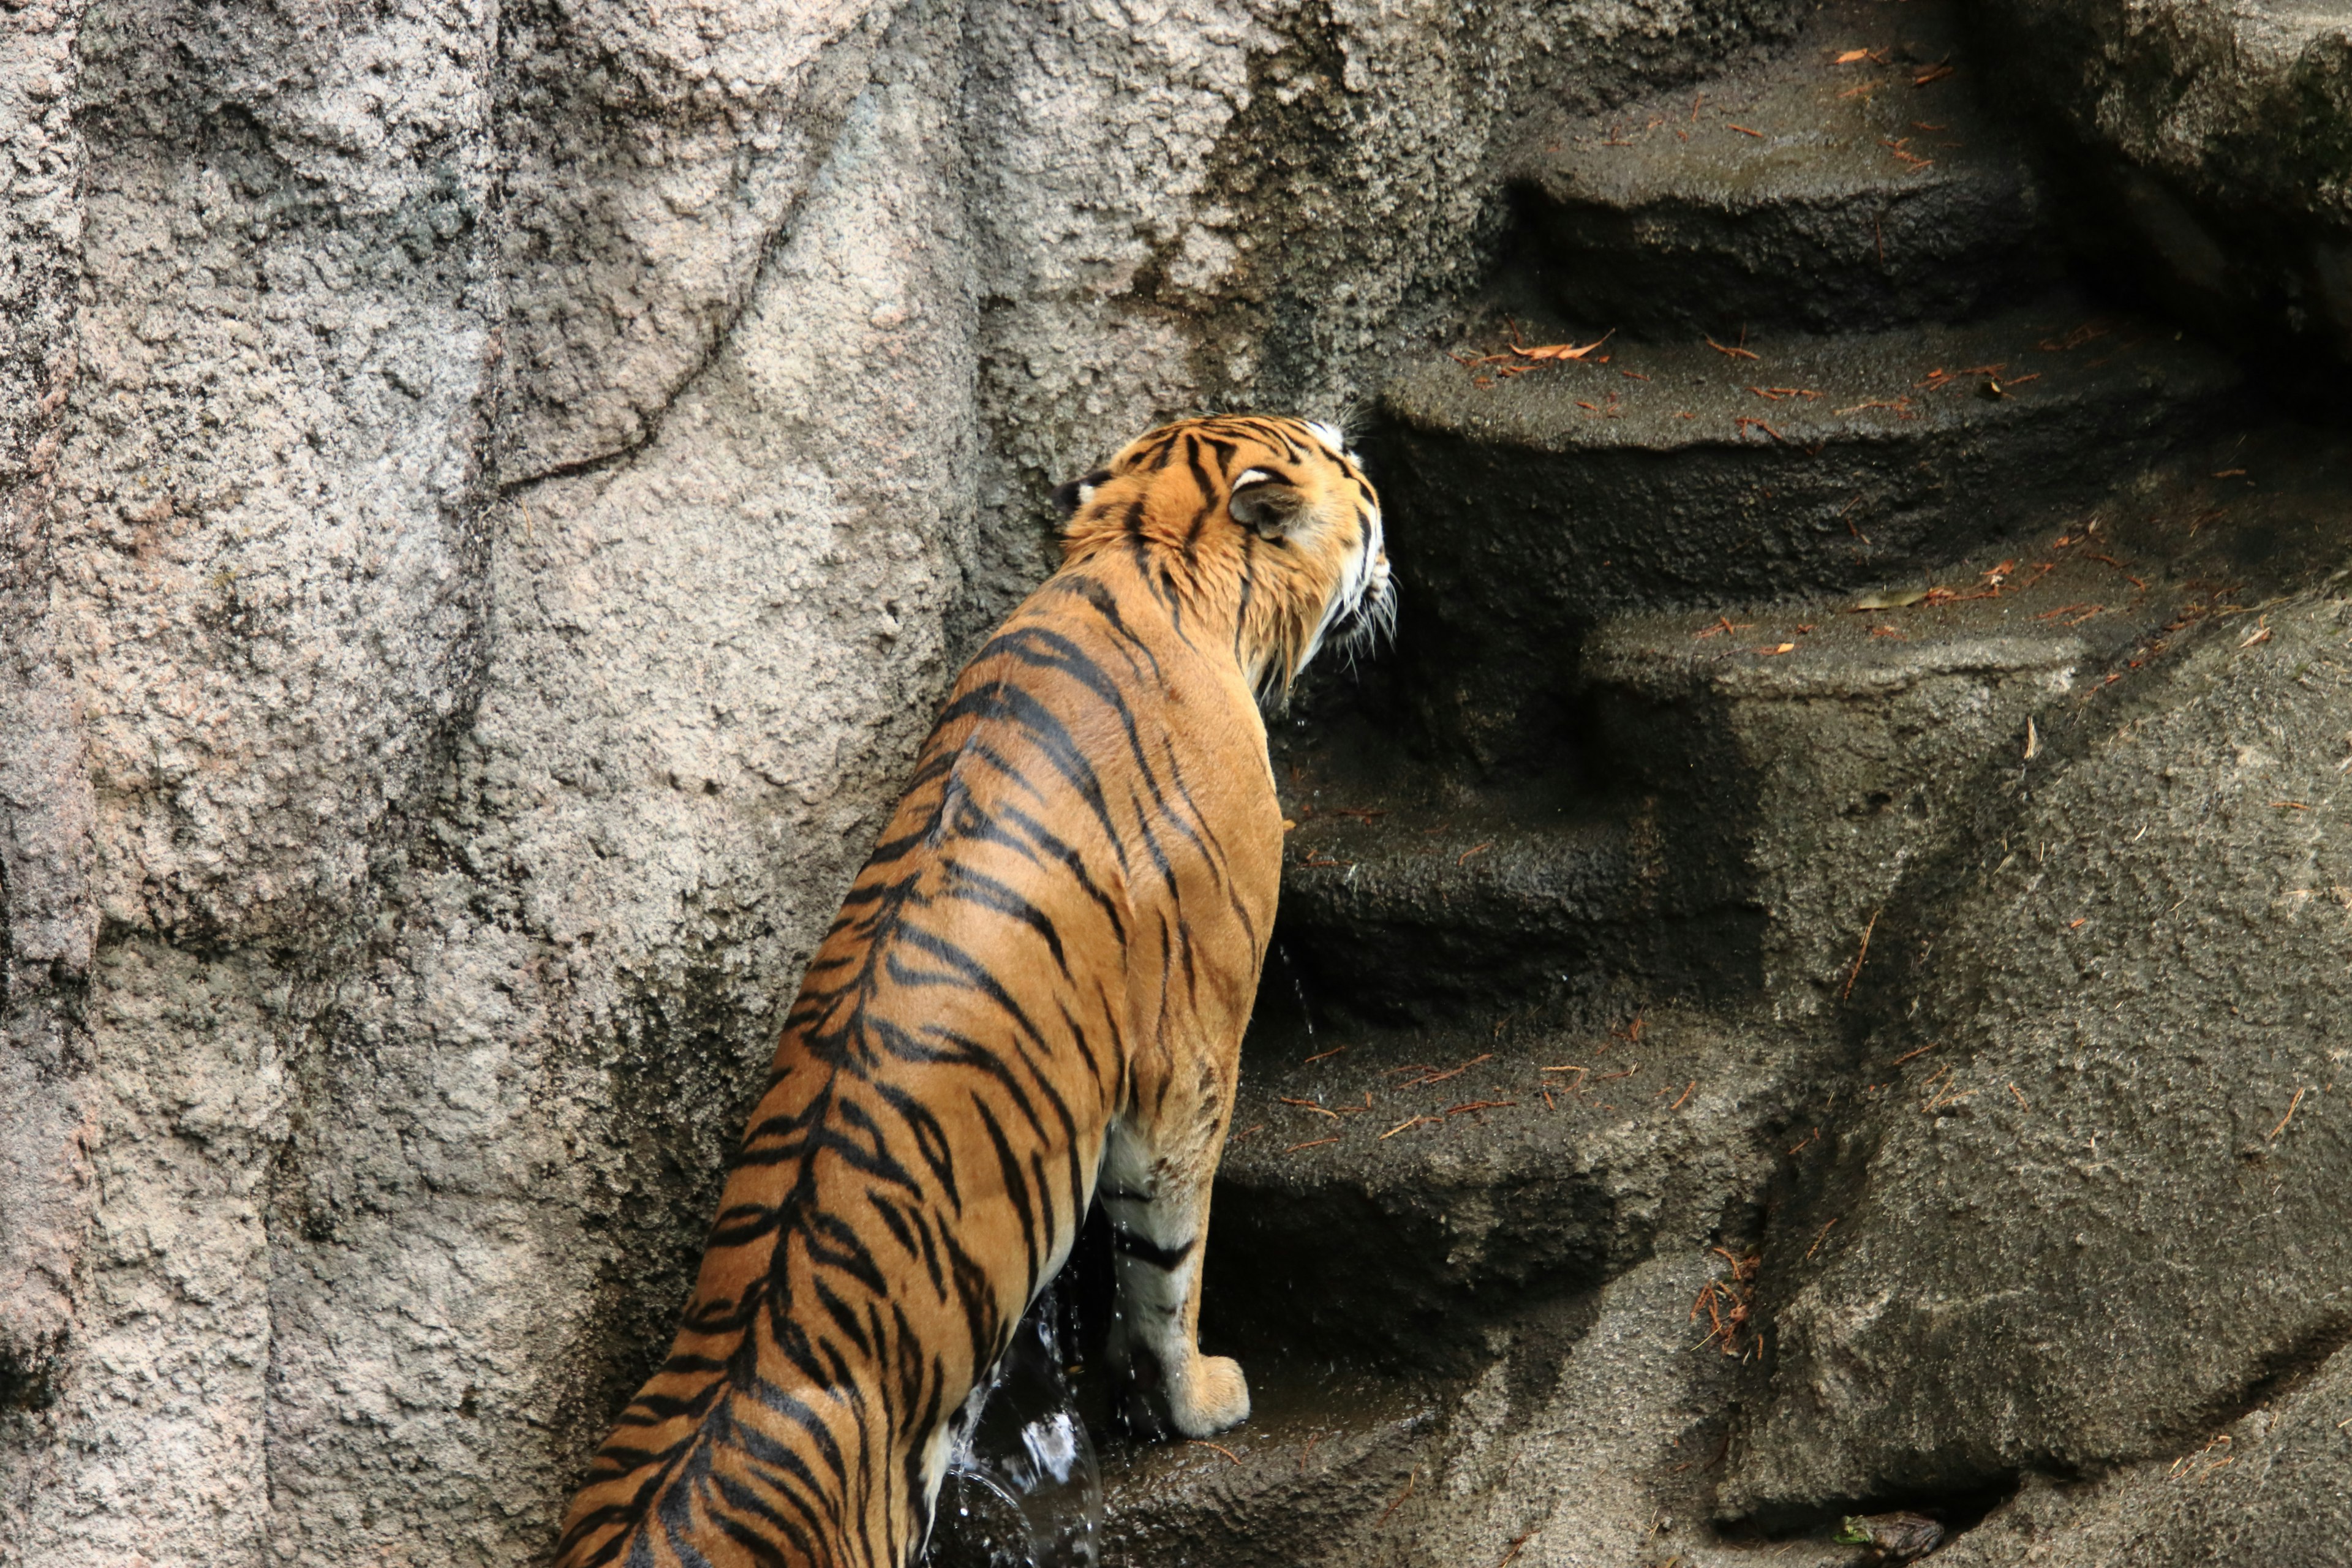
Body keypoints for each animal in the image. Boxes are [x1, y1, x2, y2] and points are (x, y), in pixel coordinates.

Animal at [550, 413, 1392, 1568]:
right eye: (1347, 470)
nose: (1379, 501)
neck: (1146, 551)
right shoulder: (1191, 1057)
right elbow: (1169, 1257)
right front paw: (1195, 1399)